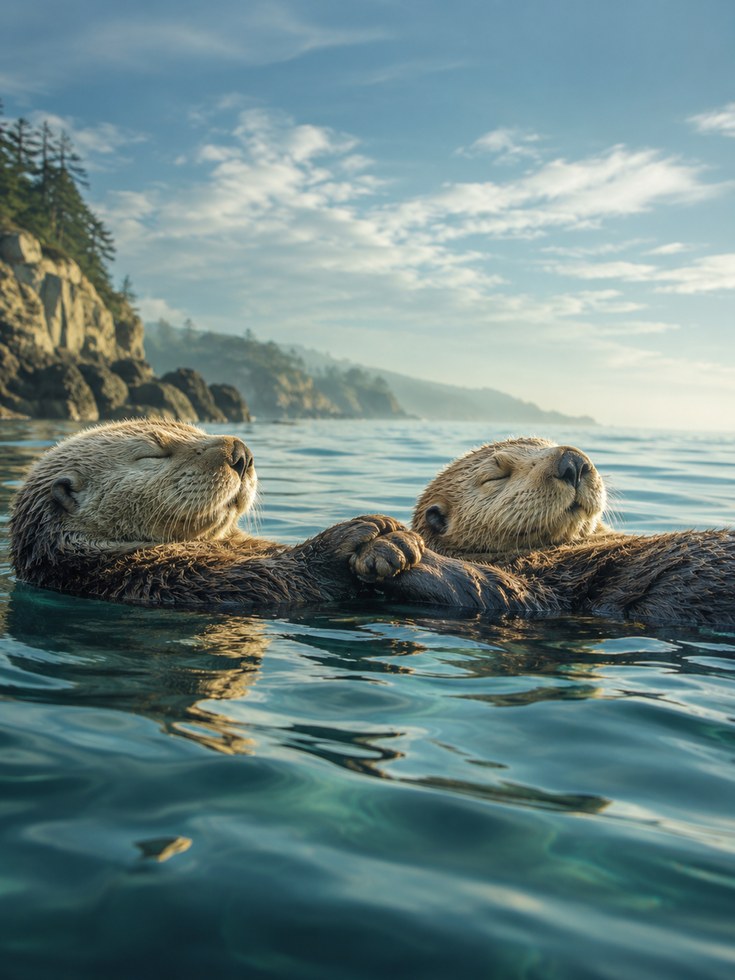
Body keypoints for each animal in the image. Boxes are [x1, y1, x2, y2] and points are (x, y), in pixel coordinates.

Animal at [9, 419, 427, 609]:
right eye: (152, 454)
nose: (241, 452)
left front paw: (396, 537)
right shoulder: (164, 577)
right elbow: (271, 580)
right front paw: (365, 536)